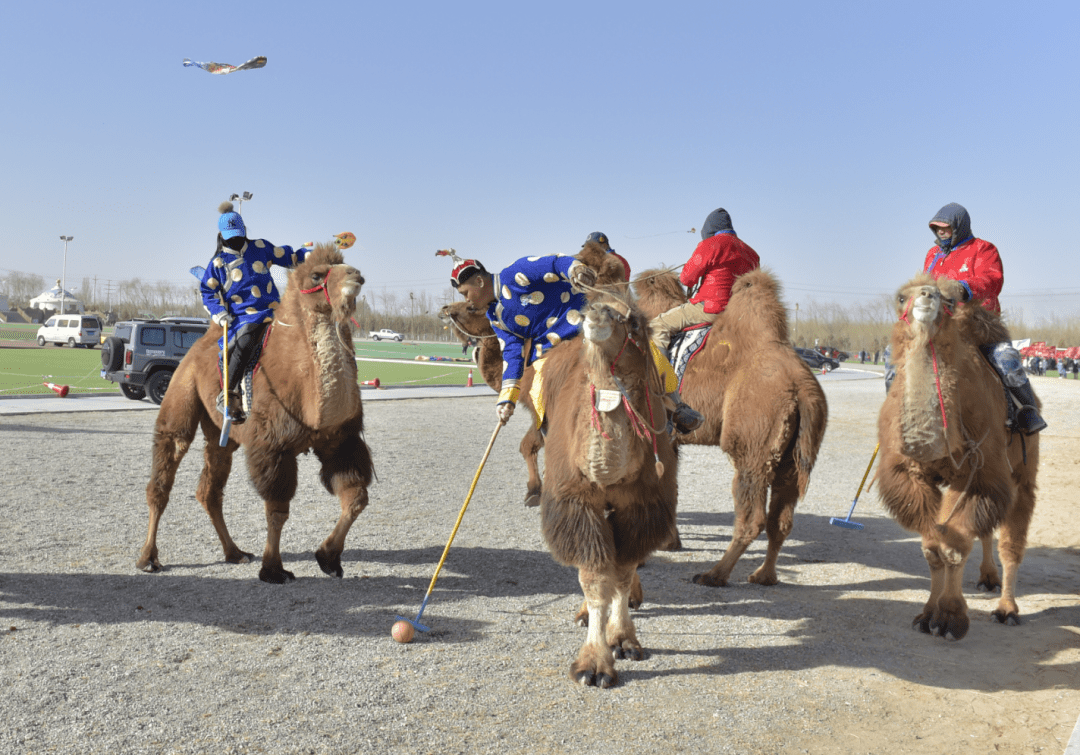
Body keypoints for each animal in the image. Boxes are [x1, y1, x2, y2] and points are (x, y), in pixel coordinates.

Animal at [139, 245, 375, 583]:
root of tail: (205, 339)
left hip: (222, 435)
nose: (356, 275)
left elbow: (356, 499)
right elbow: (277, 510)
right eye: (318, 275)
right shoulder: (273, 447)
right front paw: (274, 570)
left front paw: (328, 558)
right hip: (180, 394)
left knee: (209, 490)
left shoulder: (341, 443)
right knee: (164, 471)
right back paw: (148, 559)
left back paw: (234, 553)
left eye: (344, 263)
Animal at [537, 287, 673, 686]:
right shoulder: (577, 502)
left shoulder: (641, 504)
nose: (596, 313)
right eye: (589, 305)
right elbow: (595, 578)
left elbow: (623, 573)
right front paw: (593, 664)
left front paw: (624, 640)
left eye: (633, 321)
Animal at [630, 268, 825, 587]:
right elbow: (670, 485)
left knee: (752, 516)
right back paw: (764, 575)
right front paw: (670, 542)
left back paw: (714, 575)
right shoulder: (670, 439)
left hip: (752, 447)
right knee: (781, 519)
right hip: (794, 456)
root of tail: (801, 389)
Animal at [876, 274, 1036, 639]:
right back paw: (988, 578)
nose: (926, 296)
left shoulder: (981, 472)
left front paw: (950, 619)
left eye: (949, 300)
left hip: (1023, 471)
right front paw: (926, 616)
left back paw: (1007, 609)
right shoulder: (914, 478)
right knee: (986, 530)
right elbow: (933, 548)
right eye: (900, 297)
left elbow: (953, 547)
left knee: (1011, 541)